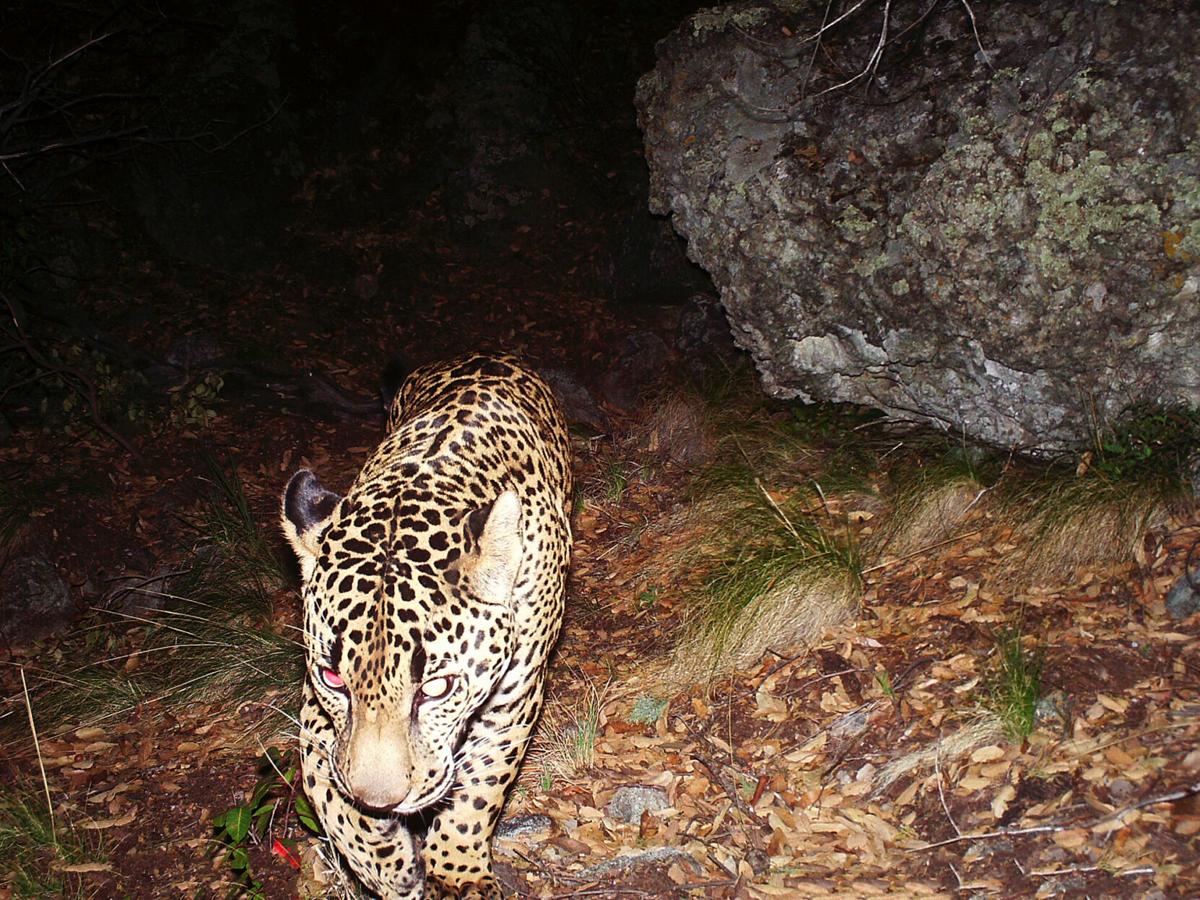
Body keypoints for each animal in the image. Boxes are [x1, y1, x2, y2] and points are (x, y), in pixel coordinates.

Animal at [281, 353, 573, 898]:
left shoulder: (516, 693)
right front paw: (386, 862)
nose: (381, 801)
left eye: (437, 689)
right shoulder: (314, 703)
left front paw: (457, 873)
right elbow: (322, 782)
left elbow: (479, 785)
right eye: (334, 679)